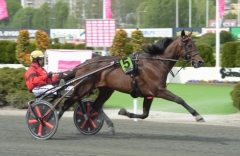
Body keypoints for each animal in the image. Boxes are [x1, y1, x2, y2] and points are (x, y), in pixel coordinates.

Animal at [56, 29, 204, 133]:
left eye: (194, 44)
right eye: (189, 45)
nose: (200, 62)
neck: (155, 63)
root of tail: (82, 65)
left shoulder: (149, 94)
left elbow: (144, 114)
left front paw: (124, 112)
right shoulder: (159, 90)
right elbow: (179, 99)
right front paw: (198, 115)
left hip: (106, 89)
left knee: (96, 106)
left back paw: (108, 125)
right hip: (82, 87)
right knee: (66, 104)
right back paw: (52, 123)